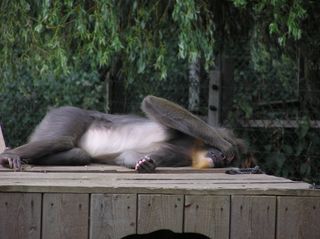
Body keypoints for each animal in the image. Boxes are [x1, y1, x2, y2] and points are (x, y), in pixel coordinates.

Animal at [0, 96, 245, 173]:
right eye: (227, 160)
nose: (221, 159)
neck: (193, 150)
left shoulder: (179, 157)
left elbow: (129, 155)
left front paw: (145, 165)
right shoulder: (193, 136)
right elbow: (153, 102)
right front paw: (225, 145)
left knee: (79, 154)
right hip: (67, 114)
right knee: (59, 139)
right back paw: (9, 155)